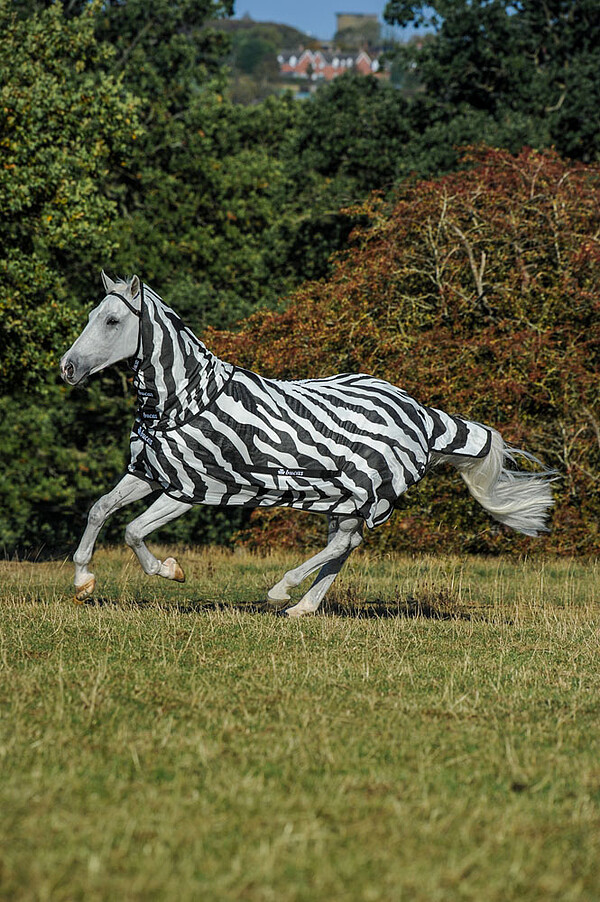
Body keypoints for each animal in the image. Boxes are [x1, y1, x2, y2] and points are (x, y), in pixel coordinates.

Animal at [59, 273, 555, 616]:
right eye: (91, 316)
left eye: (112, 320)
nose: (68, 368)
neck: (183, 399)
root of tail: (421, 413)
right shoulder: (148, 473)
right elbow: (100, 511)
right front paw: (83, 581)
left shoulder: (192, 487)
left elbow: (132, 530)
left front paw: (170, 570)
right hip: (345, 497)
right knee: (346, 545)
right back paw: (303, 607)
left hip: (364, 491)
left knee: (343, 544)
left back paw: (282, 591)